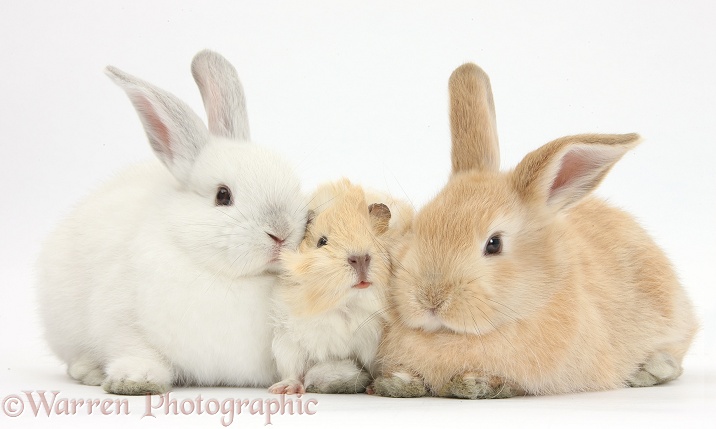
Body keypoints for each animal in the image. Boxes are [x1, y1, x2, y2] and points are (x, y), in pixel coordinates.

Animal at [37, 50, 308, 394]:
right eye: (223, 195)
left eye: (295, 187)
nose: (281, 233)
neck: (226, 277)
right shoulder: (121, 319)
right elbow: (135, 349)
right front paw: (135, 380)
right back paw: (90, 371)